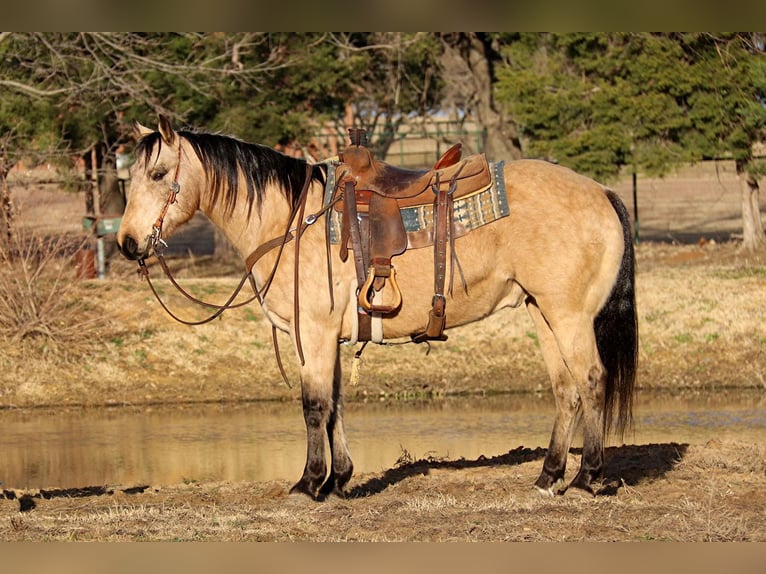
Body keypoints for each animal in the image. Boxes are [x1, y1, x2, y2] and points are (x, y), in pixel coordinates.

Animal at [115, 116, 640, 500]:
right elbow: (335, 404)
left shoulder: (313, 333)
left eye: (158, 175)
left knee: (591, 381)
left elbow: (314, 406)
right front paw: (339, 479)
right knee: (566, 390)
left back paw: (589, 477)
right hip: (541, 312)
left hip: (569, 316)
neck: (291, 222)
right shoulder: (329, 336)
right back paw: (549, 476)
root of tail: (601, 191)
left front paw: (309, 483)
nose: (127, 243)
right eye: (129, 178)